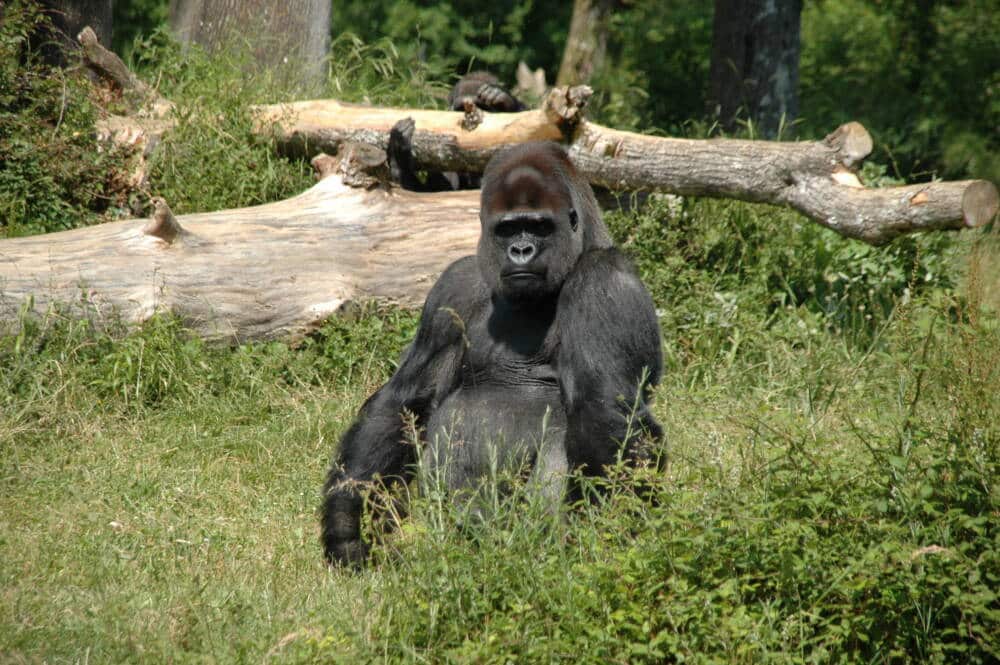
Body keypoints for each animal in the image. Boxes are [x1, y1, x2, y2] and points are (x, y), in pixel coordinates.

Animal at [322, 140, 664, 564]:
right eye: (507, 229)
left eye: (539, 226)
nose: (521, 250)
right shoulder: (454, 286)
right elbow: (404, 400)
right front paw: (347, 525)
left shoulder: (606, 282)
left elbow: (604, 410)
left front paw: (607, 535)